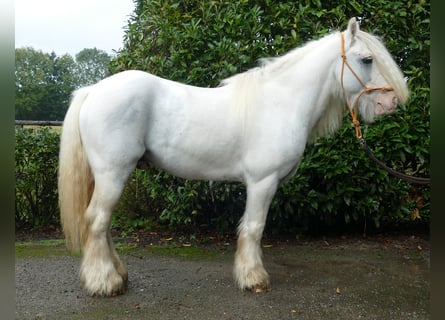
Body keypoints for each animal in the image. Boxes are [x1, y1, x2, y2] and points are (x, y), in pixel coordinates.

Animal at [58, 17, 406, 296]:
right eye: (367, 59)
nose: (390, 103)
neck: (282, 103)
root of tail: (92, 91)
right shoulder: (262, 182)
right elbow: (253, 227)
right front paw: (253, 279)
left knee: (102, 224)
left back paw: (118, 274)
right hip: (113, 173)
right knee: (97, 221)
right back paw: (105, 282)